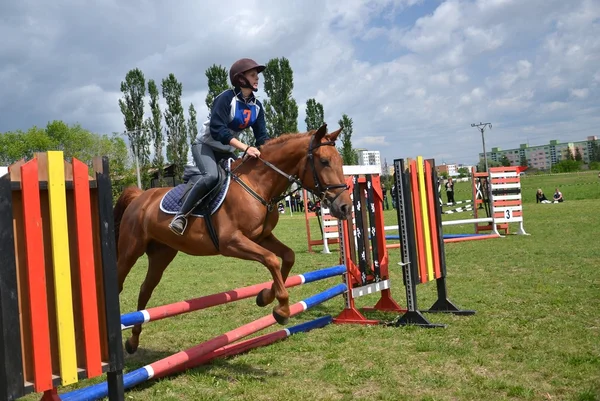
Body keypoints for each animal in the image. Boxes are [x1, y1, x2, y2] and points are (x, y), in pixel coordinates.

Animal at [112, 123, 352, 352]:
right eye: (324, 161)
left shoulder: (262, 237)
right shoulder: (231, 242)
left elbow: (288, 256)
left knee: (145, 289)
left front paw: (265, 297)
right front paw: (282, 309)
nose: (345, 207)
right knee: (120, 282)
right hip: (130, 249)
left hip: (162, 253)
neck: (257, 185)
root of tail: (140, 196)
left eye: (340, 162)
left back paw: (133, 341)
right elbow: (272, 260)